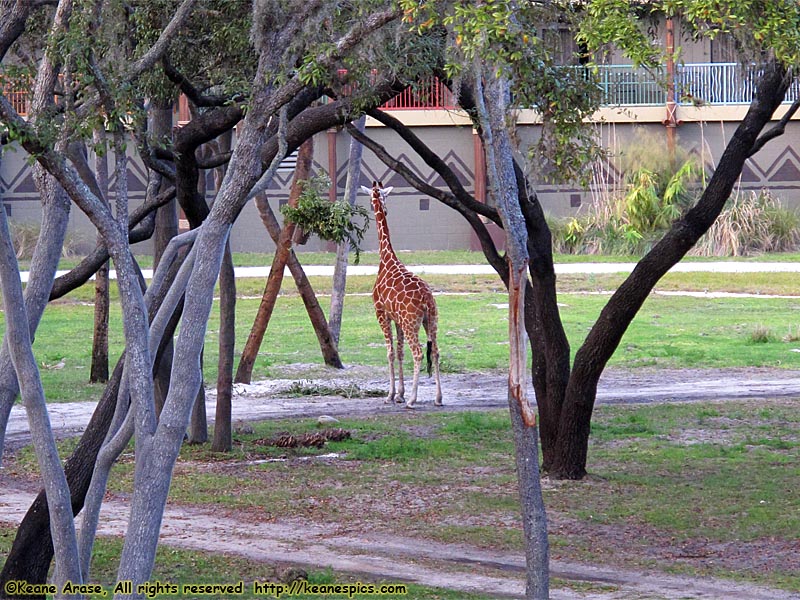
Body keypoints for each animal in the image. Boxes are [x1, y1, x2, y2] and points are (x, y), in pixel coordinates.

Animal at [362, 180, 444, 410]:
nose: (383, 209)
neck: (386, 259)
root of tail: (426, 300)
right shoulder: (396, 318)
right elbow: (399, 351)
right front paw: (399, 393)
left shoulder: (381, 312)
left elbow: (390, 352)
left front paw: (391, 395)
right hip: (431, 320)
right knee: (435, 351)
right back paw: (438, 398)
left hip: (411, 323)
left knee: (418, 352)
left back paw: (413, 400)